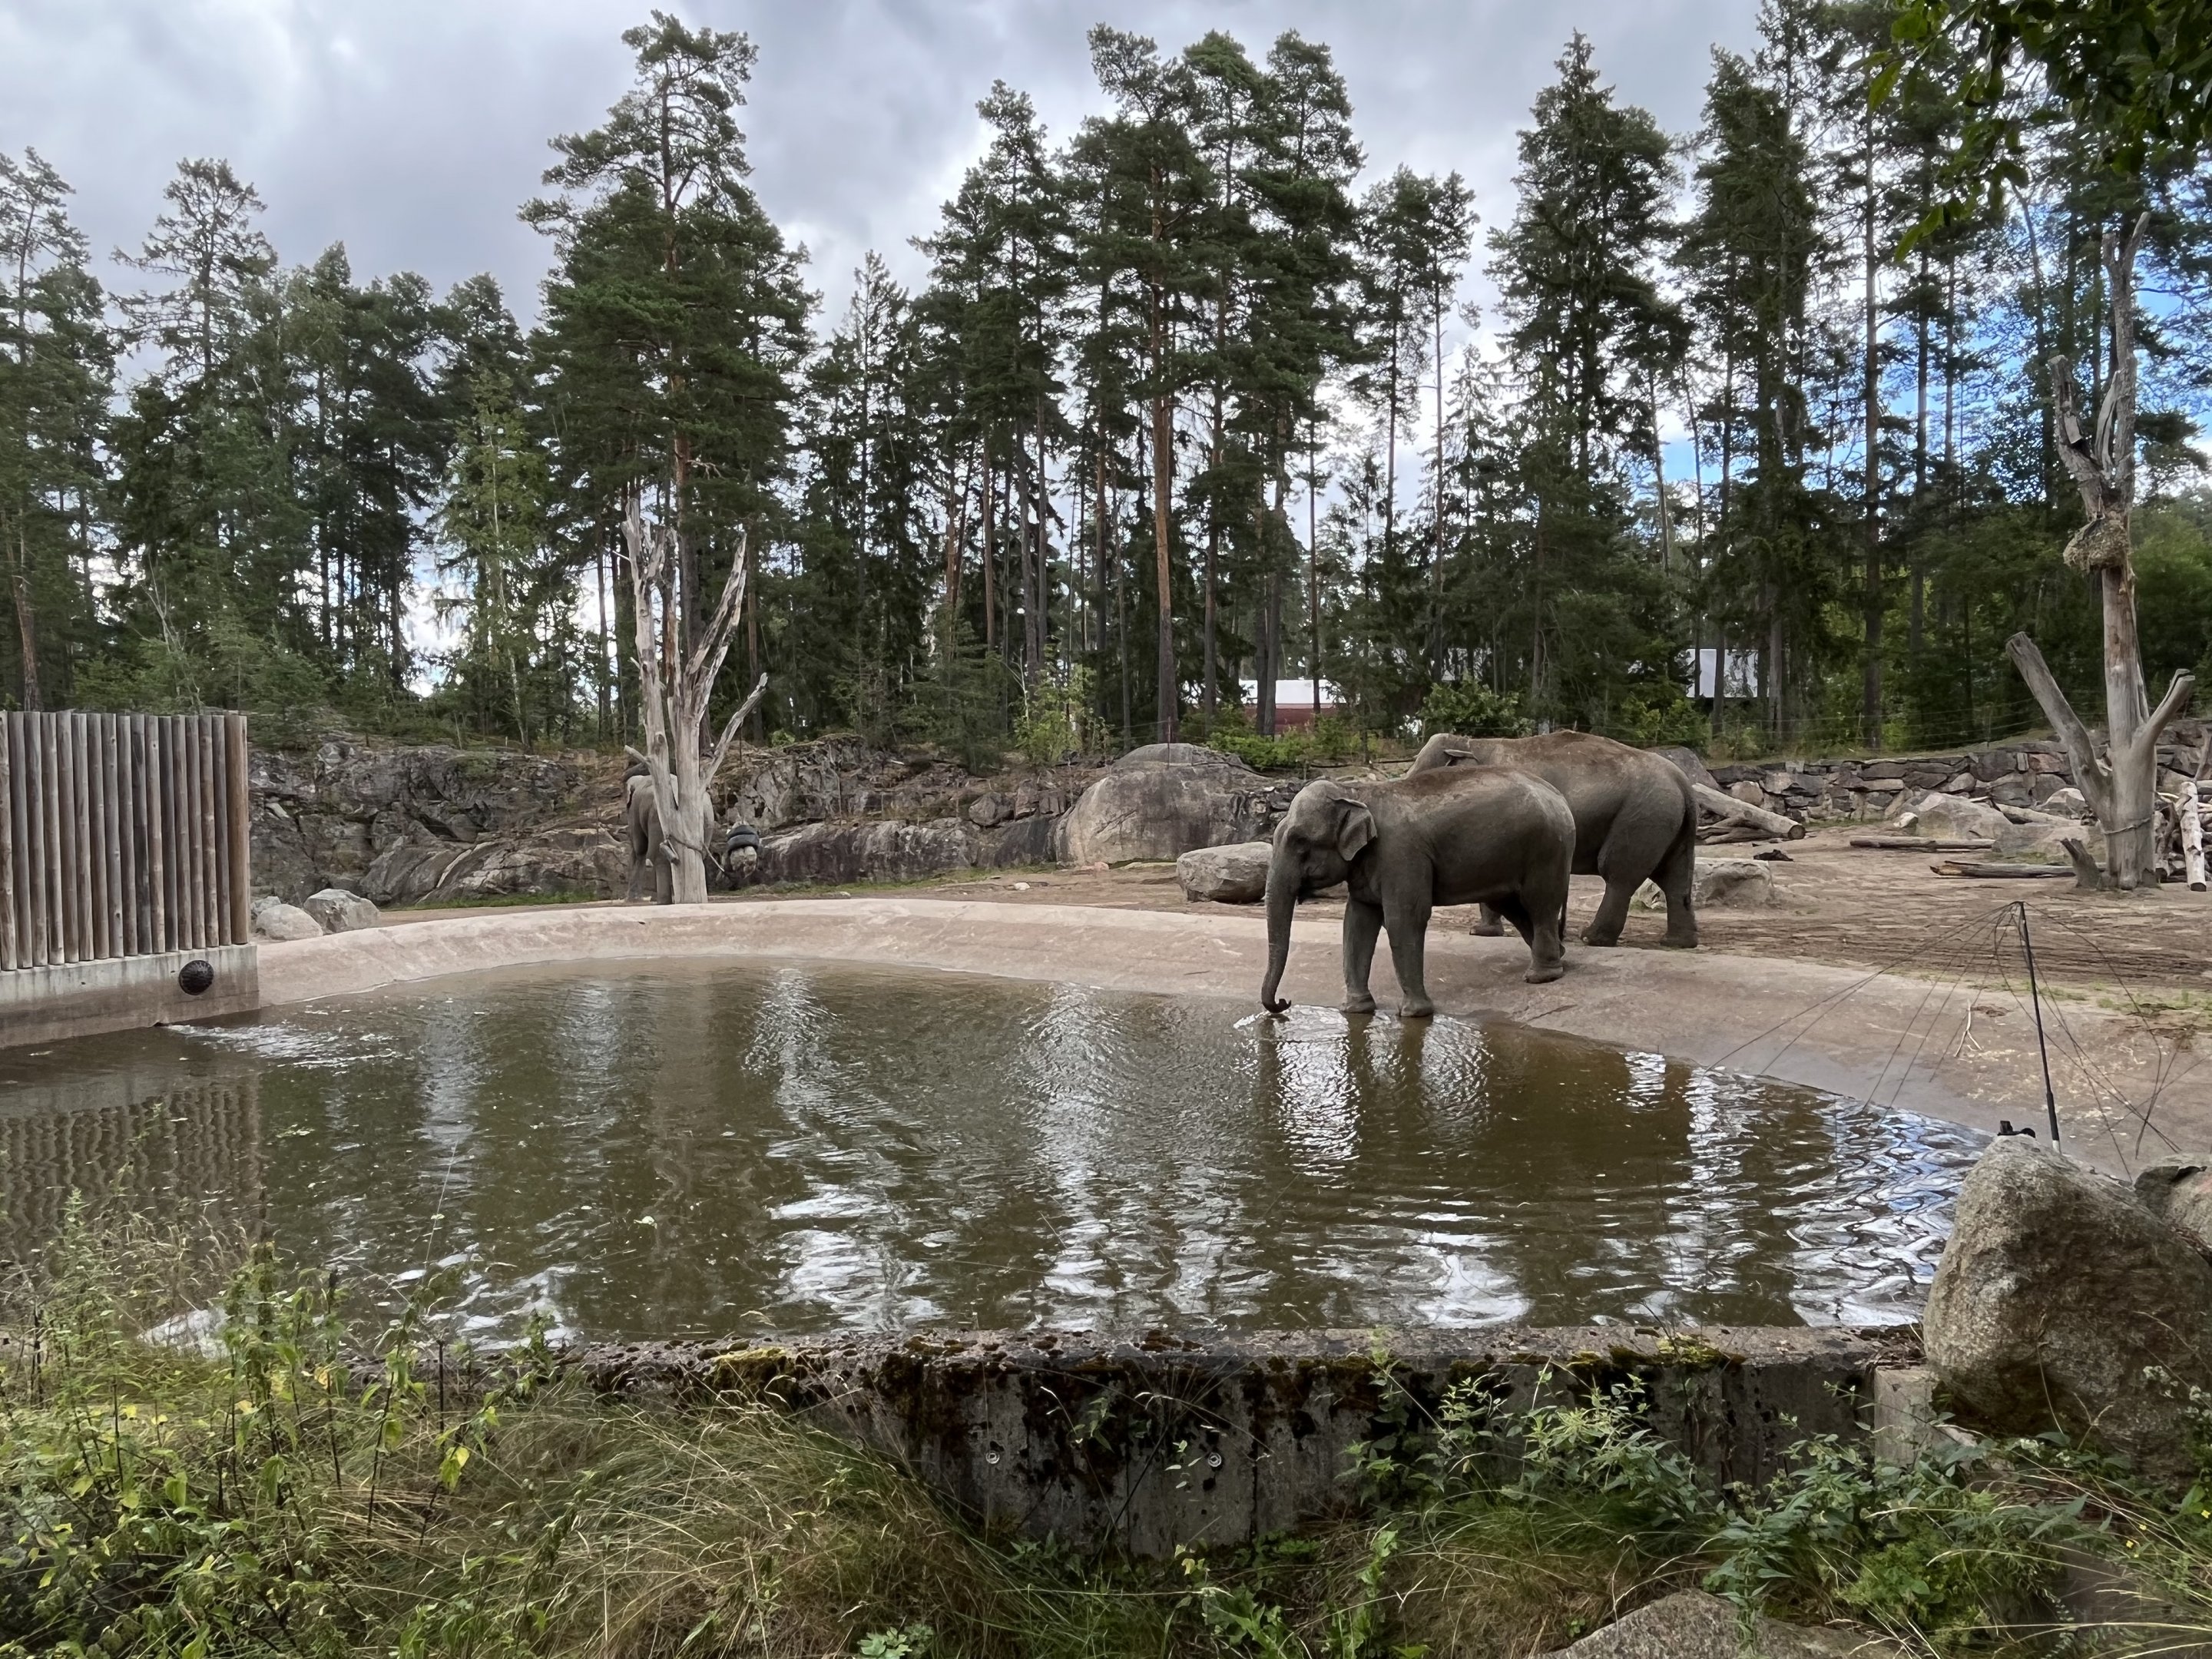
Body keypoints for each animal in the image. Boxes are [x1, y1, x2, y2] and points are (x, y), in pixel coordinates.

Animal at [1259, 766, 1576, 1019]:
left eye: (1300, 842)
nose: (1284, 1002)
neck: (1358, 793)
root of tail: (1559, 796)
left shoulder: (1402, 856)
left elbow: (1404, 919)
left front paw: (1413, 1014)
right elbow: (1357, 923)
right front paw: (1356, 1010)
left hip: (1547, 848)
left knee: (1539, 903)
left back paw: (1541, 976)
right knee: (1511, 905)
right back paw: (1559, 958)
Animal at [1407, 730, 1699, 950]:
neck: (1471, 742)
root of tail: (1682, 781)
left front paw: (1480, 933)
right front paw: (1482, 931)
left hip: (1641, 817)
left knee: (1619, 874)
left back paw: (1591, 938)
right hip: (1667, 822)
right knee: (1674, 877)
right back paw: (1678, 943)